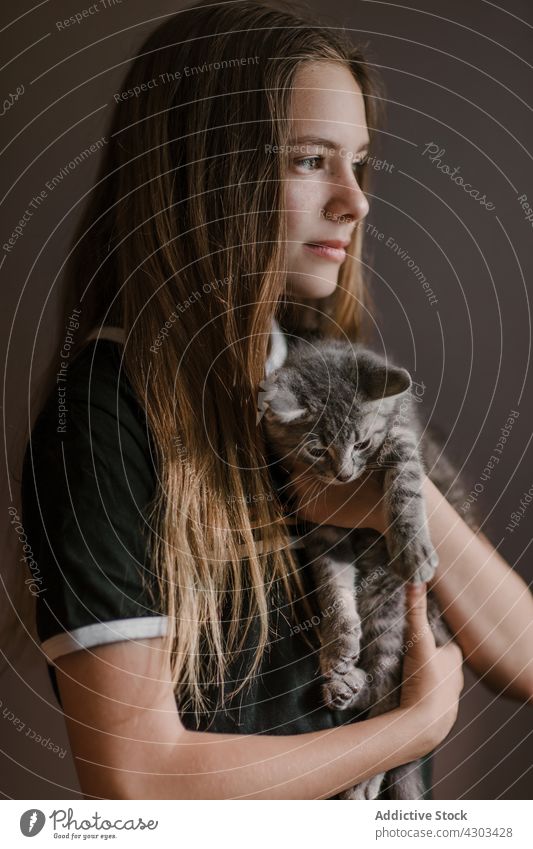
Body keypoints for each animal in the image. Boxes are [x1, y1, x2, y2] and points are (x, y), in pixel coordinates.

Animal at [260, 334, 476, 800]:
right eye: (316, 449)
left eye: (360, 444)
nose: (343, 476)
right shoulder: (322, 536)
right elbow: (333, 592)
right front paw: (338, 642)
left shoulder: (402, 438)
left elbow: (406, 485)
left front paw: (412, 548)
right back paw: (345, 683)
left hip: (393, 609)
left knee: (393, 705)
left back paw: (363, 777)